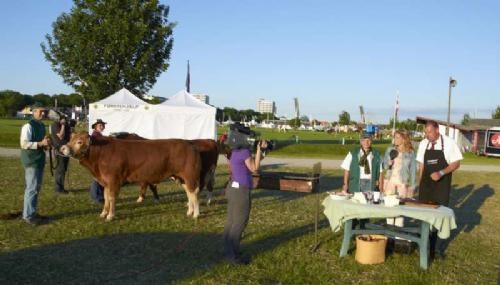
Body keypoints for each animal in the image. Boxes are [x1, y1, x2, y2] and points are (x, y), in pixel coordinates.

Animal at [62, 132, 201, 221]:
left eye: (79, 142)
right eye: (70, 139)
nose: (63, 148)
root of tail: (189, 144)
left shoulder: (113, 180)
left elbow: (112, 198)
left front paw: (110, 216)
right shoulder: (106, 182)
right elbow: (106, 198)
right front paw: (103, 213)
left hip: (190, 176)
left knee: (193, 193)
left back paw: (196, 214)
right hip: (182, 178)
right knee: (189, 193)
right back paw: (189, 212)